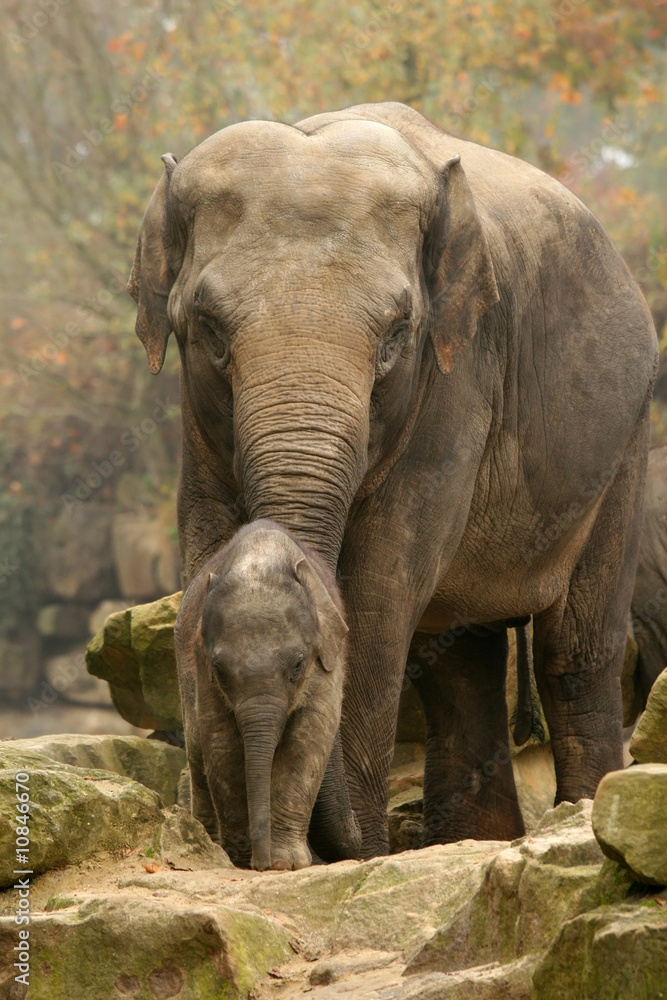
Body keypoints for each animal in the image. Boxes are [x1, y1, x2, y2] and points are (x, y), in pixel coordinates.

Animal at [174, 519, 361, 869]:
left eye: (298, 665)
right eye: (220, 670)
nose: (262, 864)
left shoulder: (328, 660)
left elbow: (307, 739)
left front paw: (286, 862)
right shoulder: (202, 668)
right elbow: (222, 743)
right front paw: (241, 859)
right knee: (196, 751)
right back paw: (207, 845)